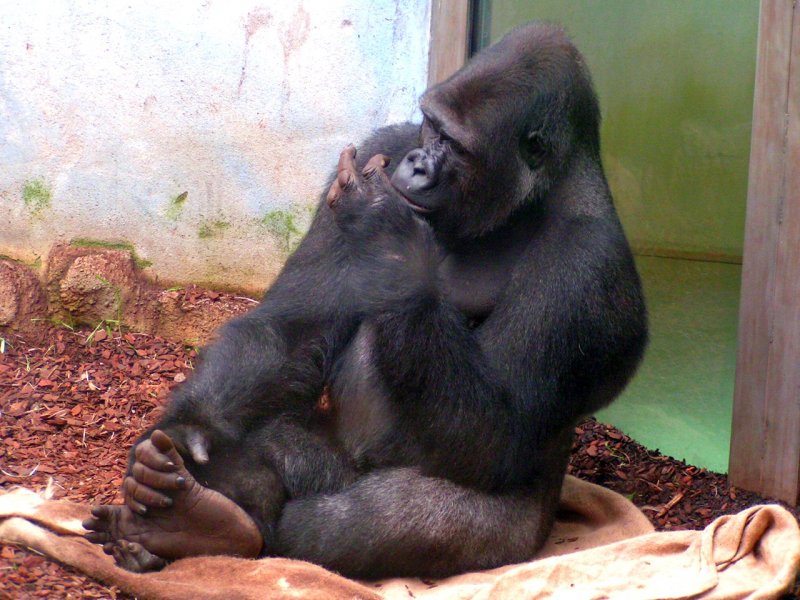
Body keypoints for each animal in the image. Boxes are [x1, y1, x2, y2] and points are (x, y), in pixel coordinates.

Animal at [83, 21, 644, 580]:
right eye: (430, 127)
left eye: (456, 146)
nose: (417, 166)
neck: (532, 197)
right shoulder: (384, 145)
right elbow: (289, 328)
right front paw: (188, 430)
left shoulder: (589, 264)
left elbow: (496, 436)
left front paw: (385, 229)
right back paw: (189, 515)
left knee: (392, 520)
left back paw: (210, 525)